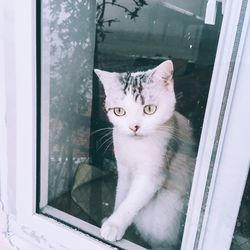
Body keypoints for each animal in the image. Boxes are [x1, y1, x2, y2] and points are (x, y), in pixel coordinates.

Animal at [94, 59, 196, 249]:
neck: (136, 147)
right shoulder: (124, 169)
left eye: (149, 109)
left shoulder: (153, 173)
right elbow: (122, 194)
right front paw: (112, 218)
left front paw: (114, 225)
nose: (134, 127)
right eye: (119, 111)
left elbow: (132, 201)